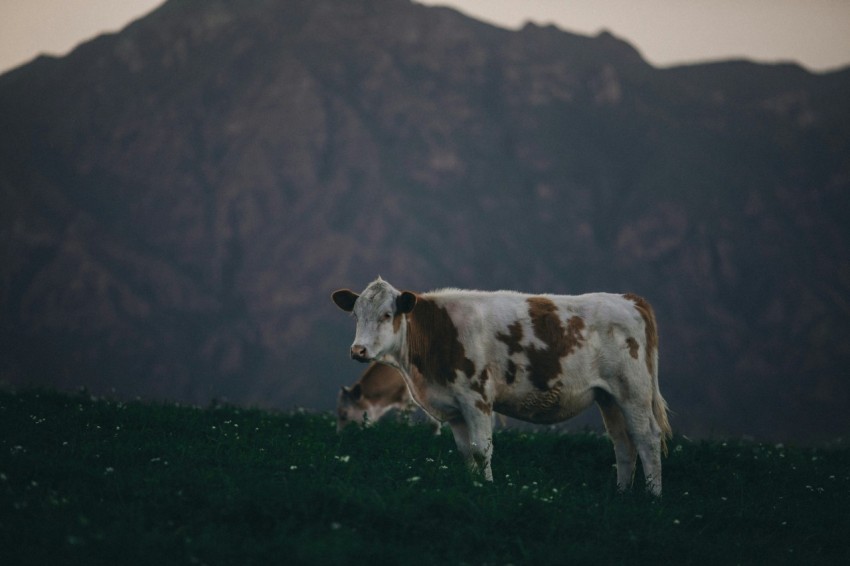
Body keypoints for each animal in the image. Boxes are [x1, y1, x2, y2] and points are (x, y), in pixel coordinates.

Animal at [332, 277, 672, 495]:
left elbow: (482, 449)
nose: (358, 350)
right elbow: (466, 452)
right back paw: (622, 493)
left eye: (387, 314)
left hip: (633, 391)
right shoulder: (454, 408)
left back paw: (652, 496)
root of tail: (628, 299)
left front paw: (487, 488)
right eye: (356, 315)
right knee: (622, 443)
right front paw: (474, 487)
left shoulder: (477, 398)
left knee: (646, 437)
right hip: (609, 397)